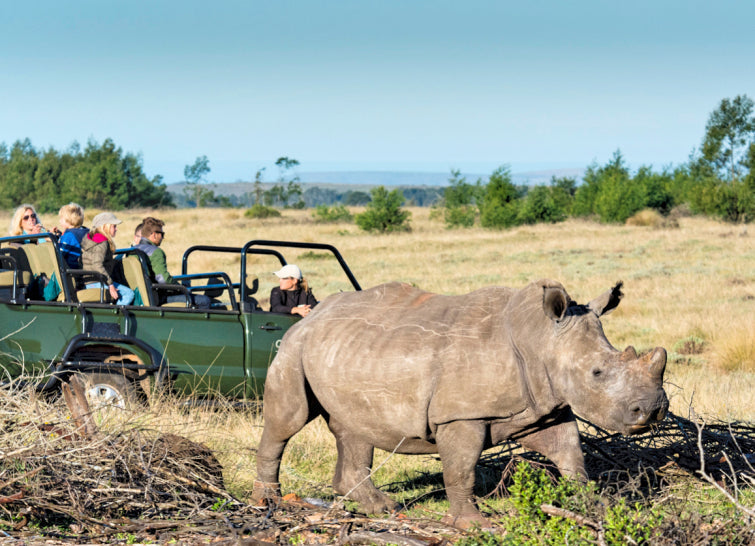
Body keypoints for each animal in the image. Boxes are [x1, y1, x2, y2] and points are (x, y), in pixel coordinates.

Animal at [252, 280, 668, 527]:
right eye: (597, 373)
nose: (651, 411)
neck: (541, 338)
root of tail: (311, 317)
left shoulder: (545, 405)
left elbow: (570, 453)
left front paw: (591, 505)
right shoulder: (460, 414)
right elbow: (462, 469)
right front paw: (474, 524)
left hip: (347, 353)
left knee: (354, 427)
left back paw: (382, 508)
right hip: (293, 348)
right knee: (288, 421)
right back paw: (268, 502)